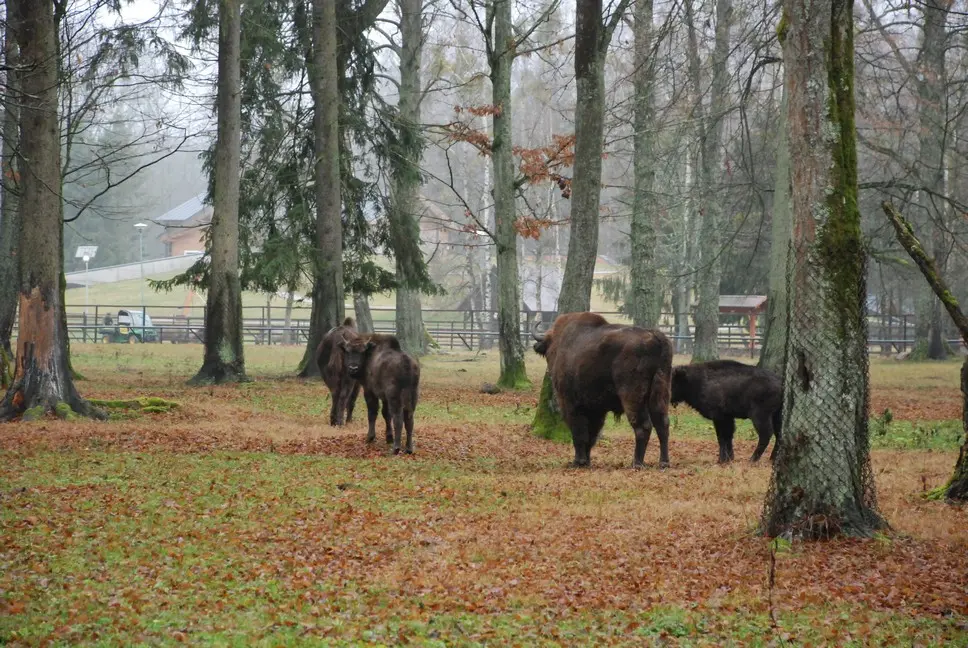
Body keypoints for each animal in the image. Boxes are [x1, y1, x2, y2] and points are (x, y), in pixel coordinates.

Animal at [528, 312, 672, 468]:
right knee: (662, 424)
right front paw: (586, 461)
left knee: (643, 426)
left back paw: (637, 463)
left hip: (633, 397)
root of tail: (656, 337)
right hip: (660, 393)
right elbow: (591, 435)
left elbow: (579, 433)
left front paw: (578, 461)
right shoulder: (596, 409)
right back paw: (664, 462)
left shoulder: (570, 405)